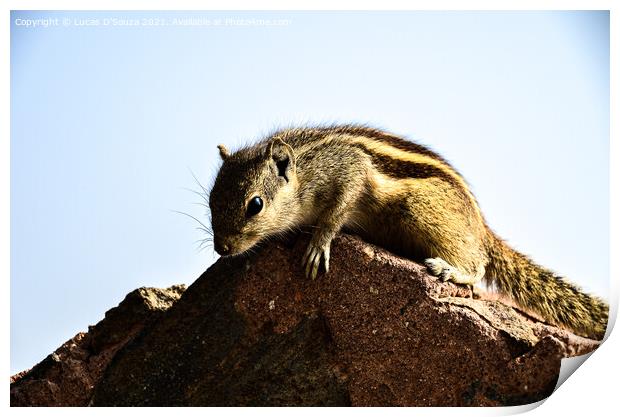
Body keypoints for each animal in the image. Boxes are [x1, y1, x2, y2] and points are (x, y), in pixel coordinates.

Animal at [209, 123, 612, 338]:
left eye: (255, 204)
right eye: (211, 200)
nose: (222, 249)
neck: (302, 170)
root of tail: (482, 227)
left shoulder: (349, 170)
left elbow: (337, 212)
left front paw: (318, 243)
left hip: (423, 213)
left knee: (478, 266)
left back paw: (451, 270)